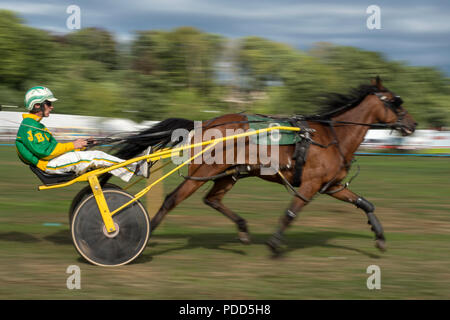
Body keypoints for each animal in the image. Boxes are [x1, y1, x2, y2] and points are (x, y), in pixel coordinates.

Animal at [107, 76, 416, 254]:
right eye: (395, 101)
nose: (412, 124)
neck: (330, 137)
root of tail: (206, 123)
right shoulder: (311, 185)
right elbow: (291, 213)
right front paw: (275, 243)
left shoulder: (332, 185)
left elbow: (365, 204)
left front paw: (379, 236)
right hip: (203, 172)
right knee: (173, 199)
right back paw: (146, 234)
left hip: (228, 174)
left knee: (213, 199)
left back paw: (243, 230)